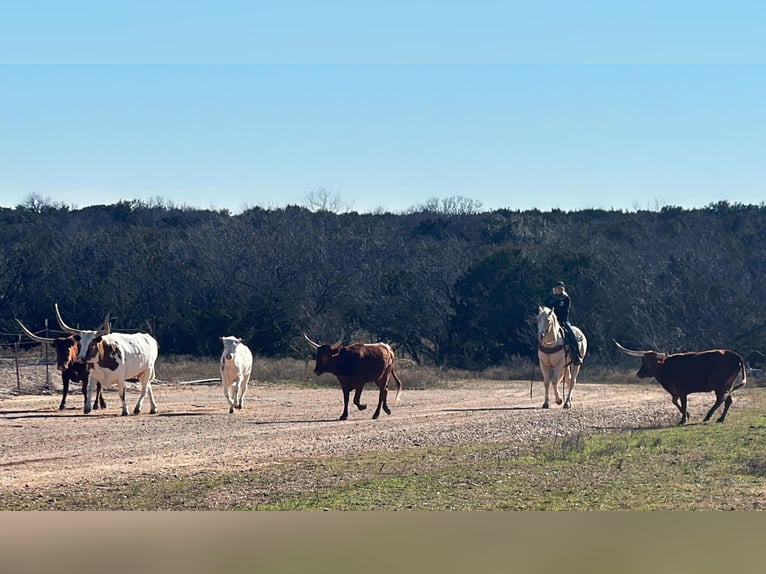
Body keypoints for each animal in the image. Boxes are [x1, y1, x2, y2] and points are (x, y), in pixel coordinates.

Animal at [616, 340, 752, 426]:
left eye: (649, 362)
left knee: (721, 399)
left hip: (720, 385)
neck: (666, 367)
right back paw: (720, 418)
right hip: (727, 385)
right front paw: (687, 415)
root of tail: (736, 356)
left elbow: (683, 404)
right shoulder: (675, 392)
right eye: (643, 360)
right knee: (728, 400)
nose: (639, 374)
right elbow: (675, 402)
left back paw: (708, 416)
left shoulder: (682, 391)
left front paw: (683, 420)